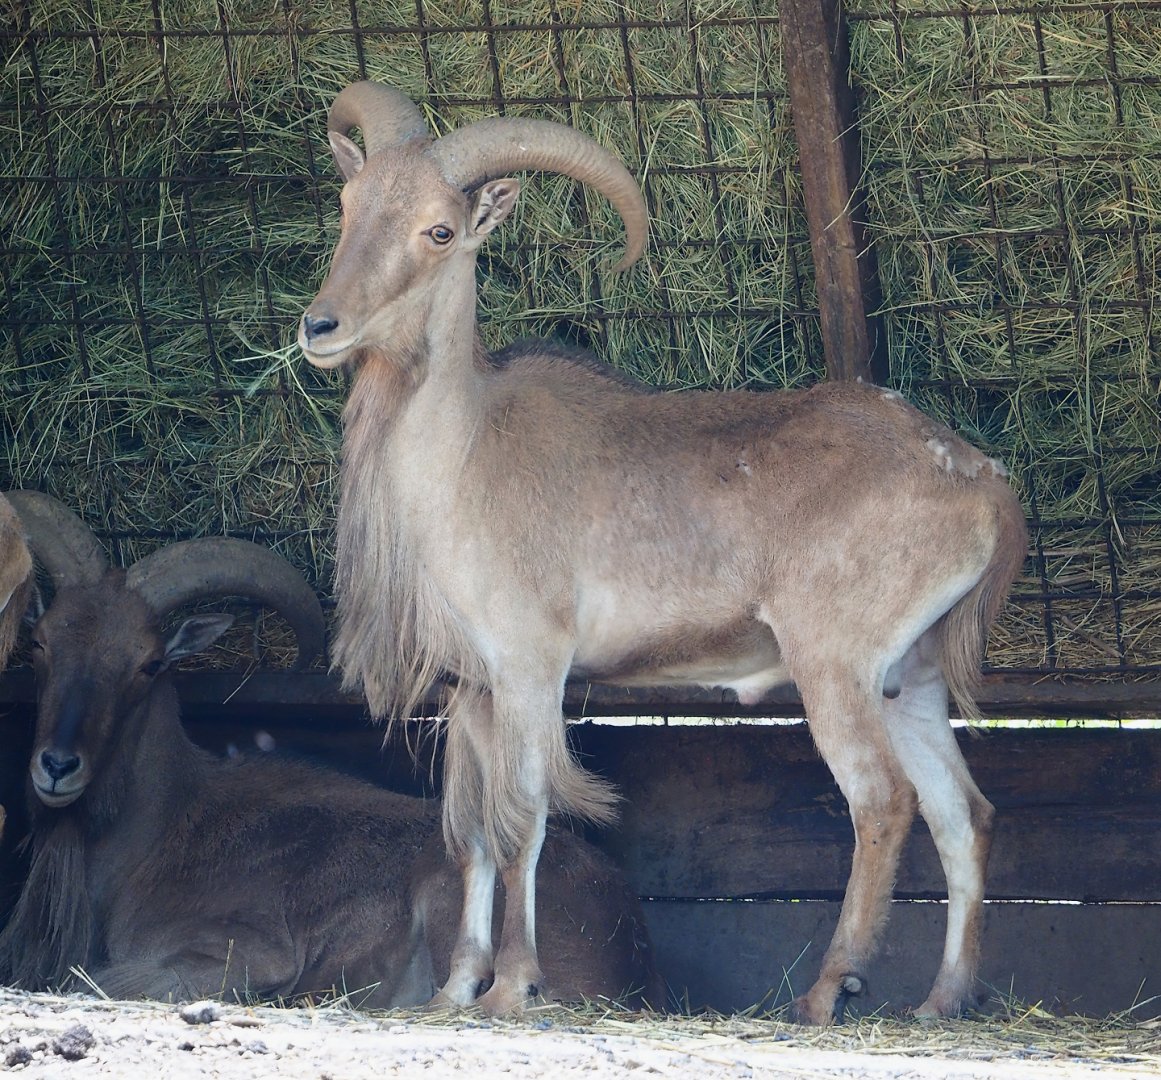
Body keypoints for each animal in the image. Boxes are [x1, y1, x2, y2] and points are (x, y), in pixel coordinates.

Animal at [0, 492, 661, 1009]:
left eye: (148, 662)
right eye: (40, 643)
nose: (57, 766)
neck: (155, 833)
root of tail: (631, 942)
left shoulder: (243, 952)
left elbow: (94, 980)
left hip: (443, 892)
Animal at [296, 80, 1028, 1023]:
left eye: (440, 230)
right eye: (349, 206)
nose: (322, 326)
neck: (461, 452)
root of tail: (983, 485)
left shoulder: (531, 667)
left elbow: (524, 817)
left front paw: (514, 984)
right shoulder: (475, 691)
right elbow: (471, 837)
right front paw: (456, 989)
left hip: (835, 663)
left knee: (881, 800)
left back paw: (826, 990)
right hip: (913, 675)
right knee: (960, 816)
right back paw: (941, 999)